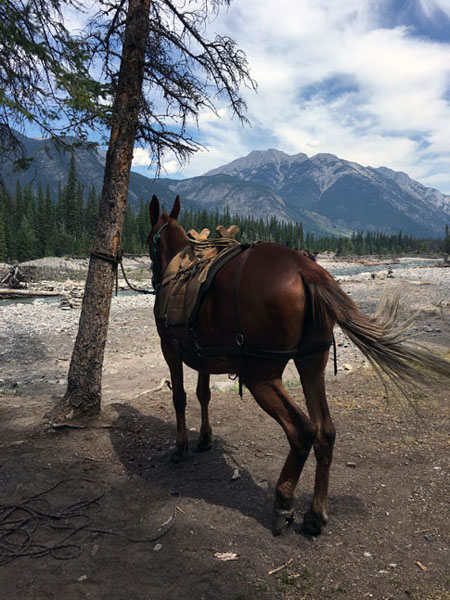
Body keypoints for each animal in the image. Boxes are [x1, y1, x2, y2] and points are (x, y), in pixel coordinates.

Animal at [149, 195, 450, 536]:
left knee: (302, 429)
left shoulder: (169, 348)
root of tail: (307, 269)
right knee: (326, 430)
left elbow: (180, 397)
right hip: (312, 364)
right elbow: (204, 394)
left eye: (150, 239)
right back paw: (316, 514)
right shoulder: (202, 356)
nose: (155, 279)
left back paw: (283, 502)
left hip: (261, 375)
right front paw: (204, 438)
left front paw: (181, 447)